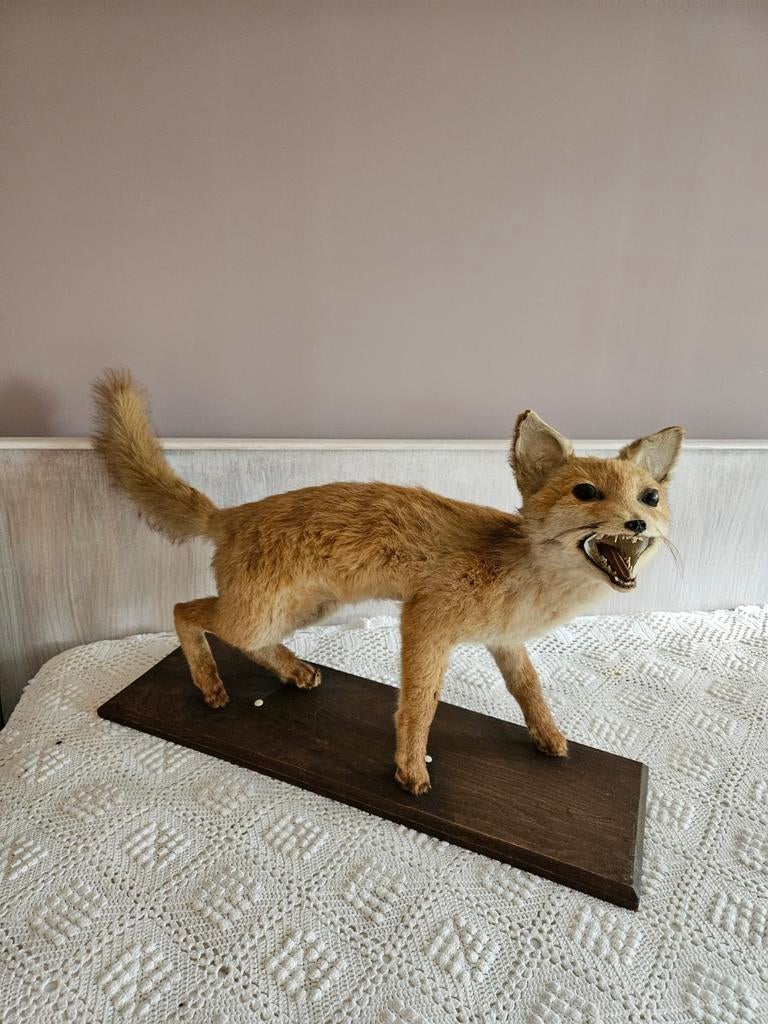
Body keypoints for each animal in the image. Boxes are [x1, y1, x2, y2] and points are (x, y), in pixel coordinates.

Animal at [92, 370, 683, 795]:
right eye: (586, 492)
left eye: (650, 496)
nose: (638, 524)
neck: (523, 578)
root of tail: (231, 515)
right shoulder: (424, 622)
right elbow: (419, 705)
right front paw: (410, 772)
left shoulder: (503, 640)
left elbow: (530, 689)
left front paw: (551, 738)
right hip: (256, 611)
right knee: (184, 611)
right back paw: (211, 687)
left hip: (303, 611)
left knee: (247, 641)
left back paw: (294, 672)